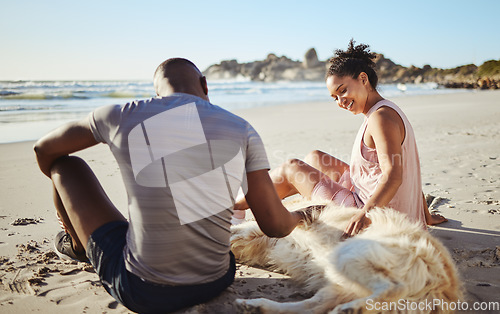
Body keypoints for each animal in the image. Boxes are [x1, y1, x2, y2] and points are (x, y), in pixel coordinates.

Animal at [232, 200, 462, 312]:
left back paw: (352, 308)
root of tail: (442, 287)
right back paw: (257, 306)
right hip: (339, 286)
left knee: (395, 287)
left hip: (347, 254)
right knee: (311, 308)